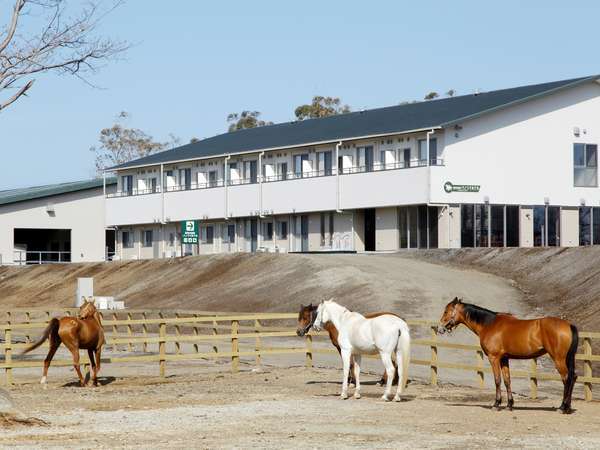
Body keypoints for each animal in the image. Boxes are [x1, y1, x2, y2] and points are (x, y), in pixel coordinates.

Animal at [438, 298, 580, 414]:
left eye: (446, 311)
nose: (440, 328)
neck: (489, 324)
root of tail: (568, 325)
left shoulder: (494, 358)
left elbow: (497, 380)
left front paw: (496, 404)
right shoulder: (504, 359)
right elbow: (507, 380)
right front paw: (509, 405)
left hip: (558, 359)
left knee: (566, 379)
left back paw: (562, 407)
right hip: (567, 359)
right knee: (573, 377)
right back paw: (568, 407)